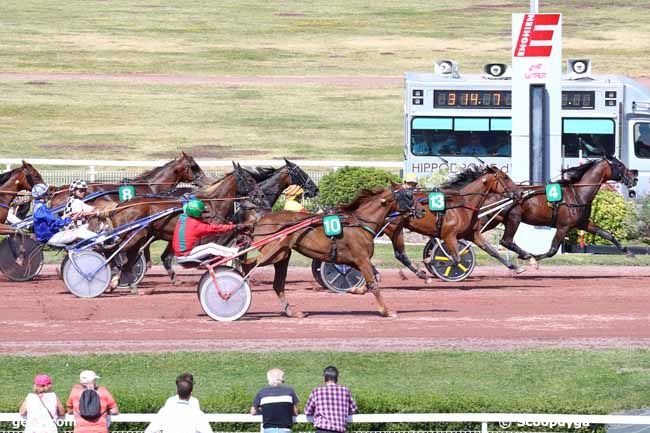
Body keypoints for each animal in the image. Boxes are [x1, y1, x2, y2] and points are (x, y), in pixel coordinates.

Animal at [240, 186, 422, 318]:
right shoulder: (362, 259)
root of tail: (260, 220)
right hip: (273, 253)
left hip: (283, 255)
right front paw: (386, 311)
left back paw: (292, 312)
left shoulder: (352, 260)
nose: (422, 210)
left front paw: (356, 290)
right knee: (247, 265)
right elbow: (374, 284)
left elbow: (373, 277)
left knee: (277, 284)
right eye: (409, 196)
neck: (360, 223)